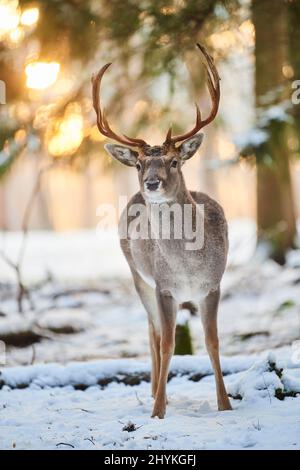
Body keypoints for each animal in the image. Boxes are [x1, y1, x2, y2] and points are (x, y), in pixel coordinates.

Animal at [91, 44, 232, 418]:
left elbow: (213, 342)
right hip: (137, 275)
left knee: (152, 330)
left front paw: (225, 404)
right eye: (140, 164)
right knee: (153, 331)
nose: (151, 183)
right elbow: (168, 343)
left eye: (174, 161)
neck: (188, 268)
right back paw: (157, 391)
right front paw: (157, 410)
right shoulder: (164, 287)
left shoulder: (213, 285)